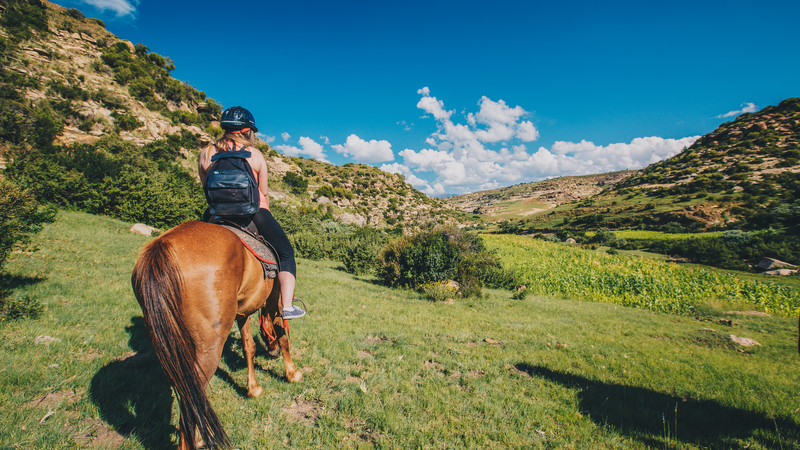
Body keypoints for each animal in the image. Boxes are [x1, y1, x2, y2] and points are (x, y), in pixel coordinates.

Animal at [131, 220, 300, 448]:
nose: (271, 354)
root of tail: (162, 247)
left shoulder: (241, 311)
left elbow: (249, 346)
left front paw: (253, 388)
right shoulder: (276, 301)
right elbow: (282, 337)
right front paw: (292, 373)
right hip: (209, 347)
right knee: (191, 400)